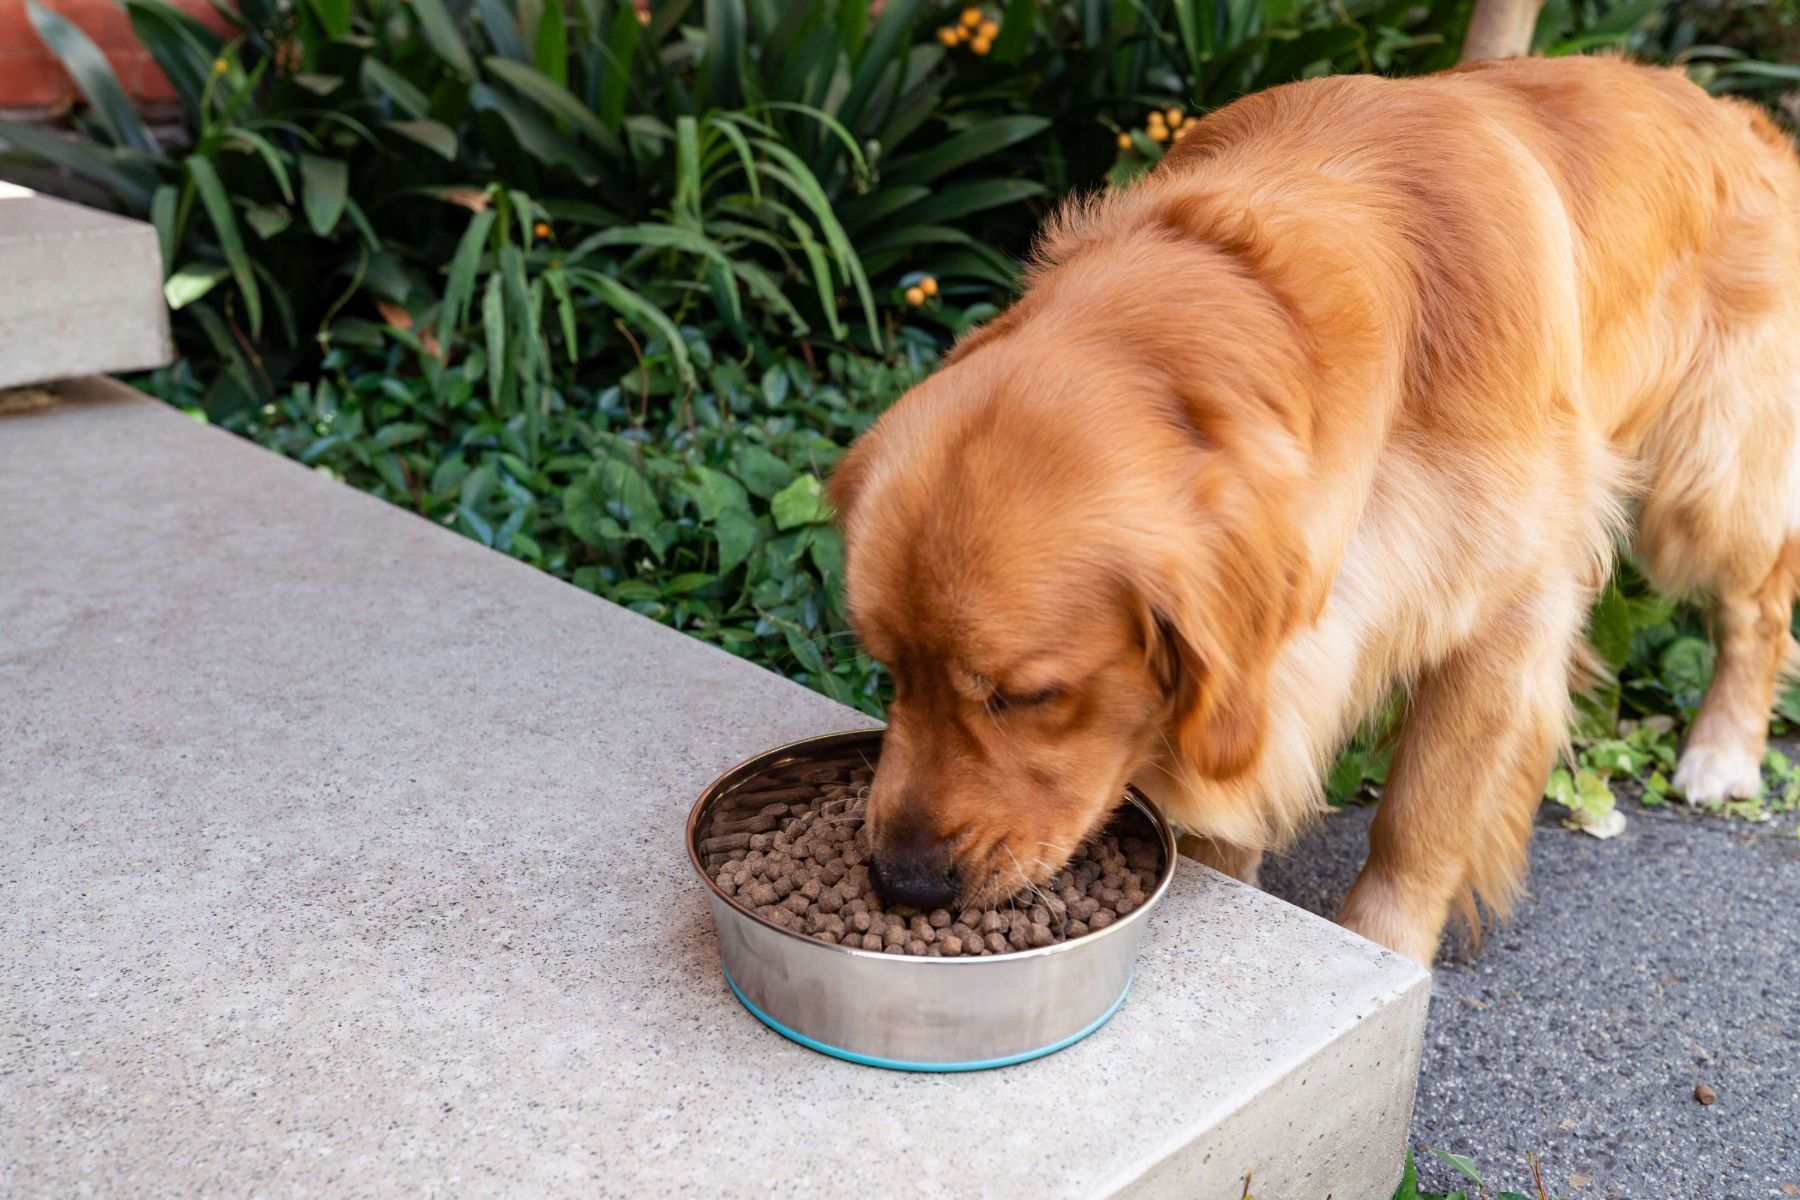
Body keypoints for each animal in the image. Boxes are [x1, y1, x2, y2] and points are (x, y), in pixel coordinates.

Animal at [831, 56, 1800, 964]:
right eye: (888, 668)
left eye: (1029, 696)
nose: (904, 884)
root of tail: (1742, 120)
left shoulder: (1507, 615)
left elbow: (1420, 819)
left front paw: (1384, 953)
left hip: (1709, 487)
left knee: (1760, 607)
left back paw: (1722, 754)